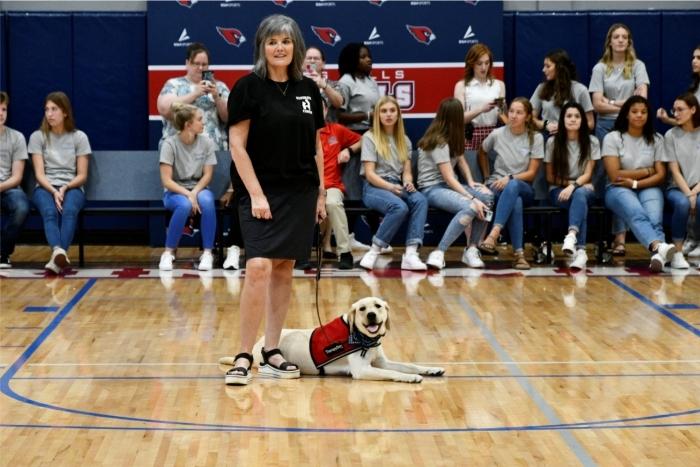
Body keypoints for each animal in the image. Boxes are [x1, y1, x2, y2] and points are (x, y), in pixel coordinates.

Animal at [221, 298, 446, 382]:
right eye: (362, 308)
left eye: (378, 306)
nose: (371, 315)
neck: (363, 338)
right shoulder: (362, 370)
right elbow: (392, 373)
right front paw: (410, 378)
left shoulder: (381, 361)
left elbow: (408, 365)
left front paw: (431, 369)